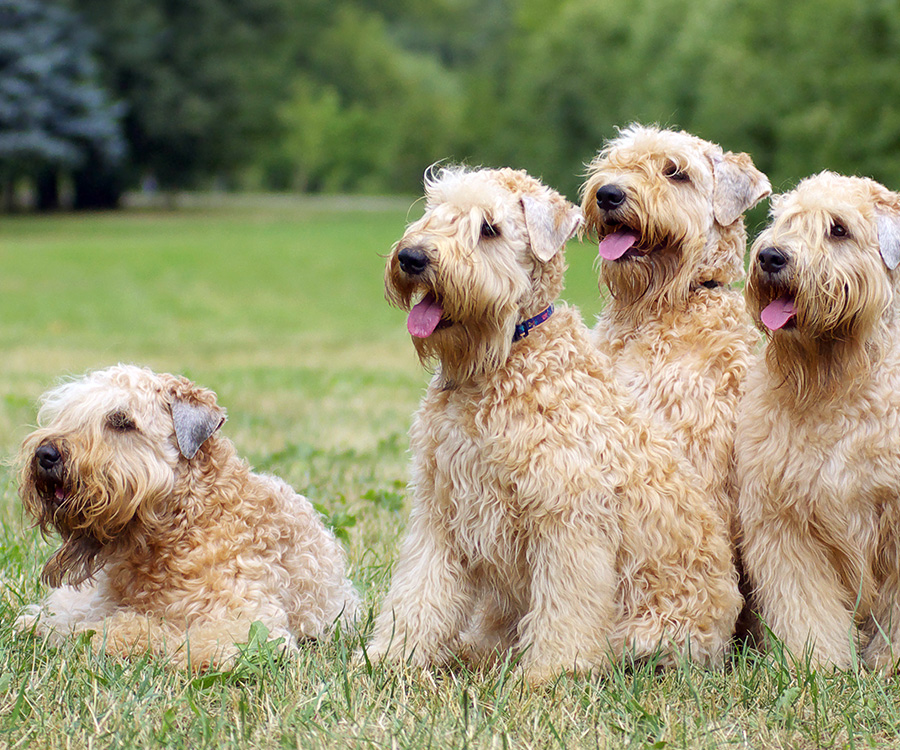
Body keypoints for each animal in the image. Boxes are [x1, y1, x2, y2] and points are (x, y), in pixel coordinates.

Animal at [370, 167, 740, 684]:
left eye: (489, 228)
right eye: (435, 210)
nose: (412, 257)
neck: (503, 362)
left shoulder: (568, 519)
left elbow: (566, 606)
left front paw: (549, 673)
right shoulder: (440, 508)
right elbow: (419, 592)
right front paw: (391, 658)